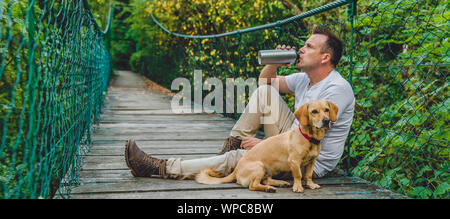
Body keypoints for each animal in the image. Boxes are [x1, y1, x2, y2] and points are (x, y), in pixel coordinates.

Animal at [195, 100, 340, 192]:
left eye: (327, 110)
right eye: (314, 111)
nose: (326, 120)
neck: (309, 138)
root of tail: (236, 170)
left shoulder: (312, 162)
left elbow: (308, 175)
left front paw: (311, 185)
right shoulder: (294, 162)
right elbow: (298, 175)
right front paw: (298, 187)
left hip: (267, 170)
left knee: (265, 180)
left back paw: (280, 183)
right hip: (260, 167)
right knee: (253, 185)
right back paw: (269, 189)